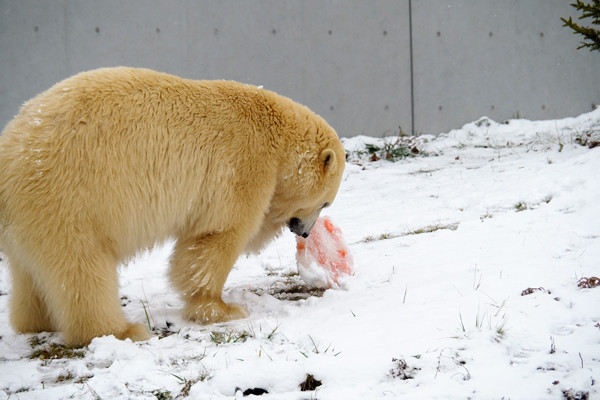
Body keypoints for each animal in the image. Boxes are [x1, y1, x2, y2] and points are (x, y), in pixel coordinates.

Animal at [0, 67, 346, 346]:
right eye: (325, 202)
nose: (305, 232)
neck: (273, 131)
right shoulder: (243, 164)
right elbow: (217, 236)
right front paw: (222, 308)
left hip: (33, 216)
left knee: (31, 273)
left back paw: (37, 322)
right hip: (68, 197)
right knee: (82, 269)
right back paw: (122, 331)